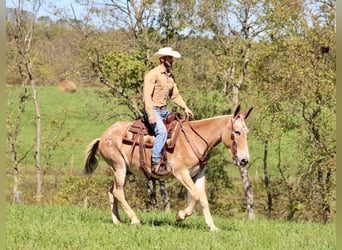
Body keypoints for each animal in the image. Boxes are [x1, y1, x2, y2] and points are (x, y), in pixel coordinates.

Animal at [84, 104, 252, 231]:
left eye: (247, 132)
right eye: (236, 132)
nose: (244, 160)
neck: (195, 139)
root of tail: (103, 137)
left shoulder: (199, 174)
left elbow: (203, 199)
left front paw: (212, 227)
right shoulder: (181, 173)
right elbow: (195, 195)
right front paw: (180, 215)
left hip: (127, 171)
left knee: (112, 191)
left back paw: (117, 221)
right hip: (119, 168)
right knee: (118, 192)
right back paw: (134, 220)